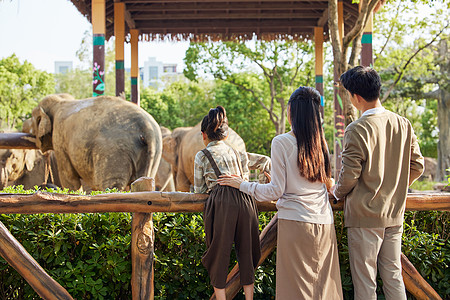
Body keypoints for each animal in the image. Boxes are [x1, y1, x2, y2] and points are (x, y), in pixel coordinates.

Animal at [28, 95, 163, 191]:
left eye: (33, 120)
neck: (60, 101)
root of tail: (147, 129)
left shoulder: (59, 138)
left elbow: (69, 178)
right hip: (154, 154)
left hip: (114, 152)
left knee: (111, 186)